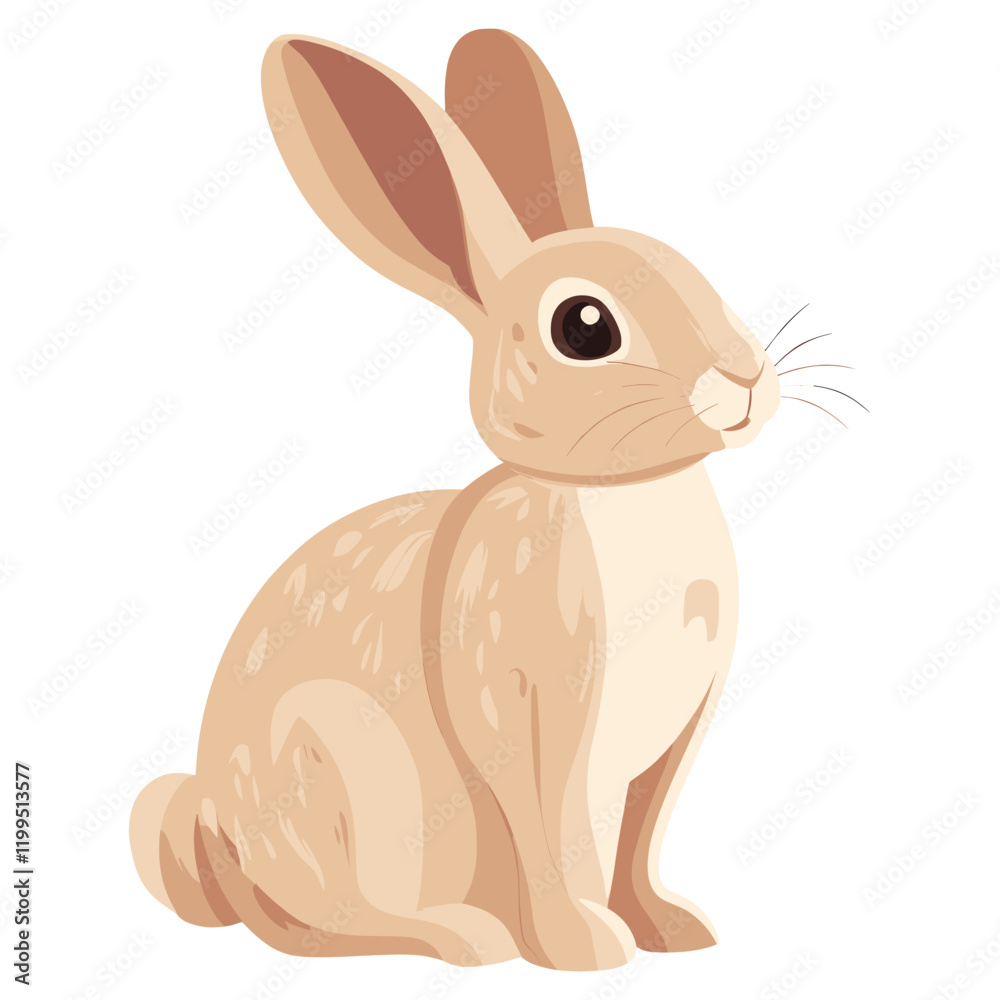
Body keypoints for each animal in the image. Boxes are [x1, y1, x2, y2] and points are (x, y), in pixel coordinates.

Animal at [129, 28, 779, 971]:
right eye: (584, 327)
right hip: (334, 765)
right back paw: (464, 936)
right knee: (324, 921)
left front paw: (673, 930)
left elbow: (640, 842)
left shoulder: (674, 741)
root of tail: (219, 838)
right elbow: (551, 838)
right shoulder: (522, 712)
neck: (616, 495)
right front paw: (585, 948)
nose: (746, 381)